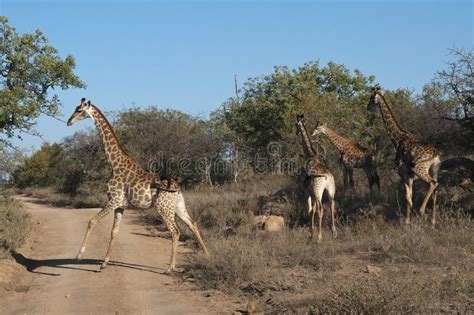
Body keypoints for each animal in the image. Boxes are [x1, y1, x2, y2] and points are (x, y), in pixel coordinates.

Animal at [66, 99, 209, 274]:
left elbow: (92, 221)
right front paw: (103, 263)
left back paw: (170, 268)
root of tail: (177, 186)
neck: (114, 164)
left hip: (163, 208)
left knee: (176, 231)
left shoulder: (113, 200)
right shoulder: (120, 205)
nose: (68, 122)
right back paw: (207, 255)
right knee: (192, 223)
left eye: (79, 110)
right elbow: (114, 232)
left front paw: (79, 255)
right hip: (177, 206)